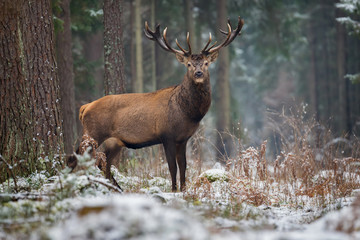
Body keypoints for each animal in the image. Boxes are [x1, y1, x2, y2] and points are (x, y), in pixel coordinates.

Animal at [68, 16, 245, 192]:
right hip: (93, 133)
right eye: (188, 64)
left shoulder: (183, 138)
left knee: (101, 162)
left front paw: (183, 190)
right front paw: (173, 190)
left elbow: (183, 166)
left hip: (114, 141)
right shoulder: (167, 135)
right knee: (77, 159)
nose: (198, 73)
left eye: (206, 63)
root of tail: (84, 108)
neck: (188, 113)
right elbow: (172, 167)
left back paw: (116, 188)